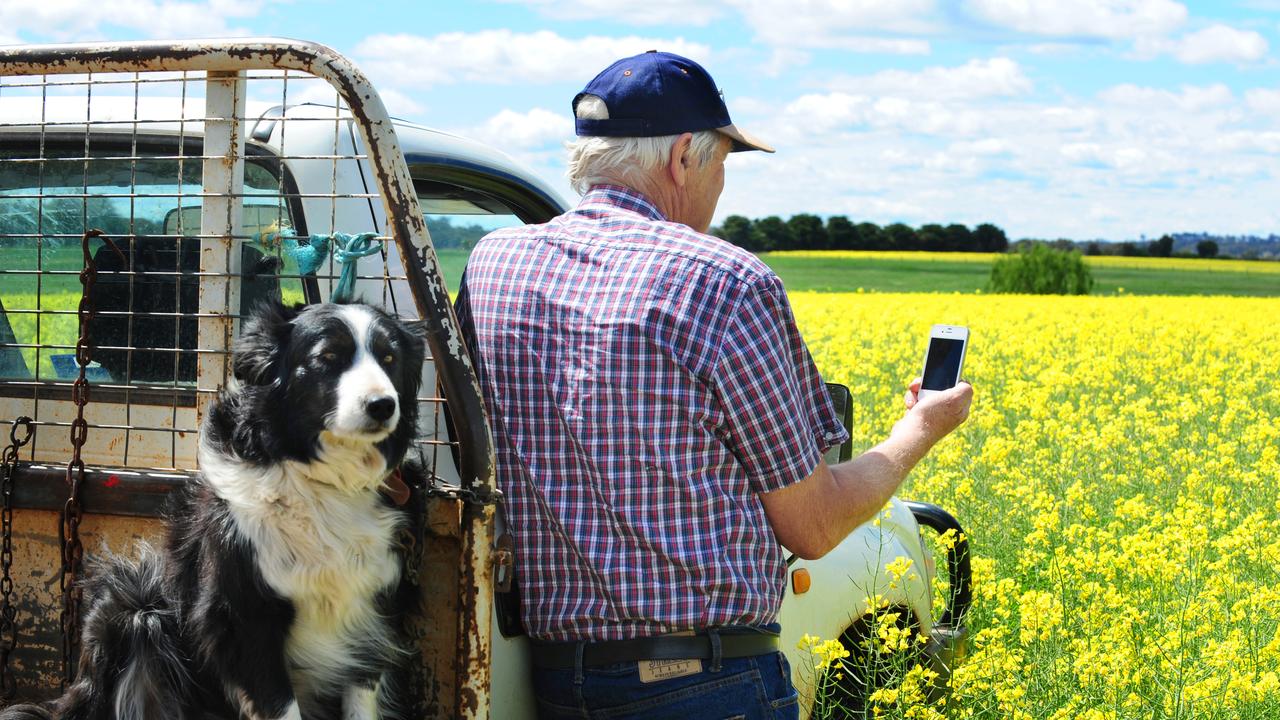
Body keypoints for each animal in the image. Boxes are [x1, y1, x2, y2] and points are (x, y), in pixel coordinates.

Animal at [0, 298, 430, 717]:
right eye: (328, 357)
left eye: (389, 358)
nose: (382, 405)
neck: (323, 476)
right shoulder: (243, 613)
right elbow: (277, 700)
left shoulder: (373, 611)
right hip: (134, 603)